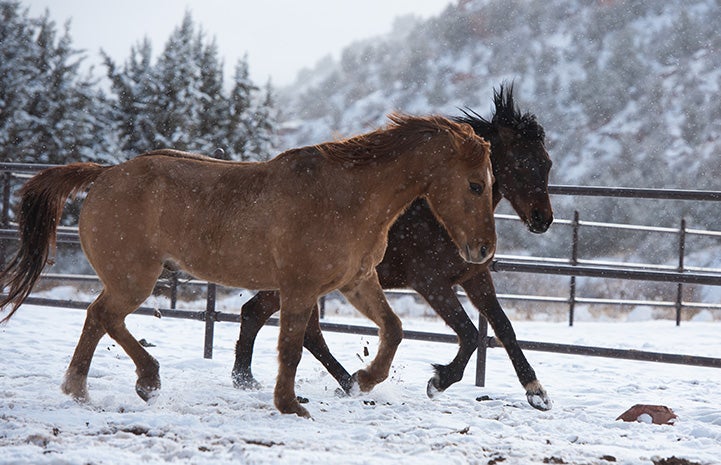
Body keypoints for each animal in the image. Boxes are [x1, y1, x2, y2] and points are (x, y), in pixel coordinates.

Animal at [0, 113, 496, 418]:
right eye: (475, 185)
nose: (483, 251)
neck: (348, 196)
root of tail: (104, 174)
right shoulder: (300, 288)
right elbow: (292, 347)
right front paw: (290, 405)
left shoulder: (356, 282)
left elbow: (392, 329)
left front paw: (364, 380)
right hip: (134, 278)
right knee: (104, 315)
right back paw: (134, 382)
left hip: (132, 278)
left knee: (99, 318)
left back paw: (94, 388)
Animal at [231, 85, 555, 411]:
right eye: (520, 163)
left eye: (547, 163)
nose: (543, 219)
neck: (434, 216)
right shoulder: (430, 282)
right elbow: (470, 332)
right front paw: (438, 381)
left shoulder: (474, 277)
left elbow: (504, 328)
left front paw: (537, 392)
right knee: (271, 319)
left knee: (280, 322)